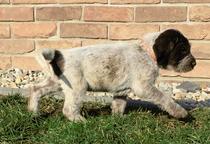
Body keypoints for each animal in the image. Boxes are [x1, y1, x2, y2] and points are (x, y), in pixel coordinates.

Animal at [27, 28, 195, 121]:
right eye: (183, 50)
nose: (194, 64)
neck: (146, 52)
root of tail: (60, 55)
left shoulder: (121, 91)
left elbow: (119, 105)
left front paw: (118, 119)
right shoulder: (144, 87)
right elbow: (164, 98)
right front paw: (180, 112)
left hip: (55, 82)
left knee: (36, 89)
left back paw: (32, 112)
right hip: (77, 86)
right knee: (68, 109)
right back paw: (80, 121)